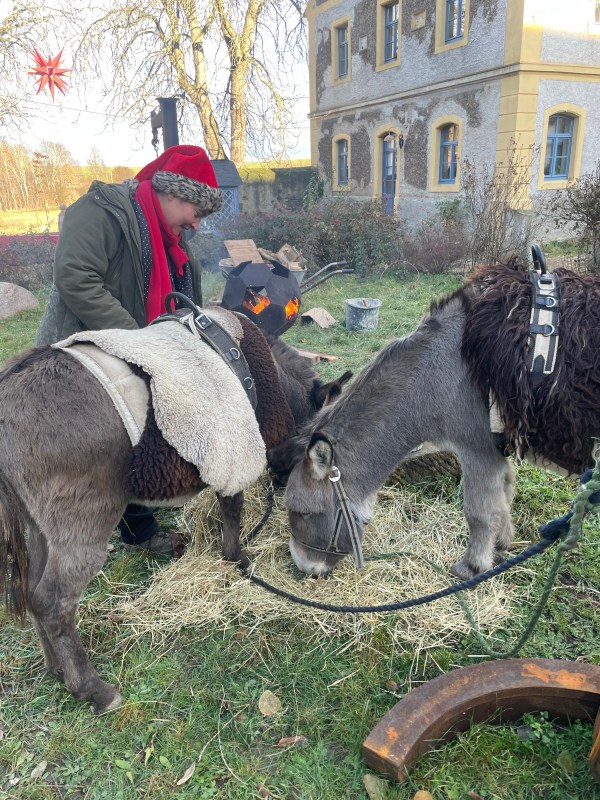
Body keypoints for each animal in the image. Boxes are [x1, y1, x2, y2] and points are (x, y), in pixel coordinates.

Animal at [0, 310, 351, 713]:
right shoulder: (235, 451)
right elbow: (232, 508)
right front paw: (237, 559)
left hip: (42, 527)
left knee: (32, 591)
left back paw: (56, 669)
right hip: (82, 527)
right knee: (53, 602)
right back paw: (92, 688)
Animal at [269, 262, 600, 580]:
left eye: (302, 512)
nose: (303, 568)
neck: (436, 371)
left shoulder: (478, 448)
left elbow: (480, 511)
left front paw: (473, 567)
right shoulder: (497, 451)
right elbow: (505, 496)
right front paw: (500, 547)